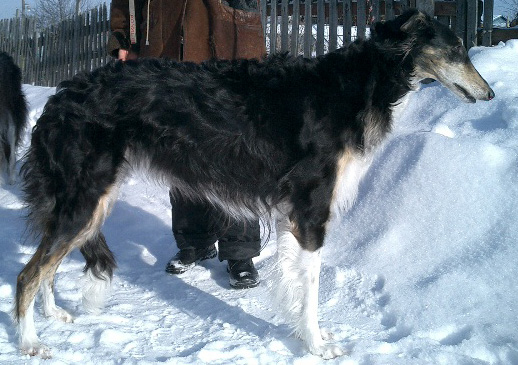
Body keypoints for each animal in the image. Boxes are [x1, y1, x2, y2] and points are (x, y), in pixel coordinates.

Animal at [14, 9, 494, 356]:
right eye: (454, 50)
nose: (488, 93)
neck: (357, 85)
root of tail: (60, 98)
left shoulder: (290, 215)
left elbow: (295, 285)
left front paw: (303, 334)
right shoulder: (310, 210)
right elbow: (312, 289)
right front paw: (317, 345)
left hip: (86, 202)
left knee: (47, 267)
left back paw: (53, 317)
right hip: (85, 200)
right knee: (28, 274)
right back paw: (30, 341)